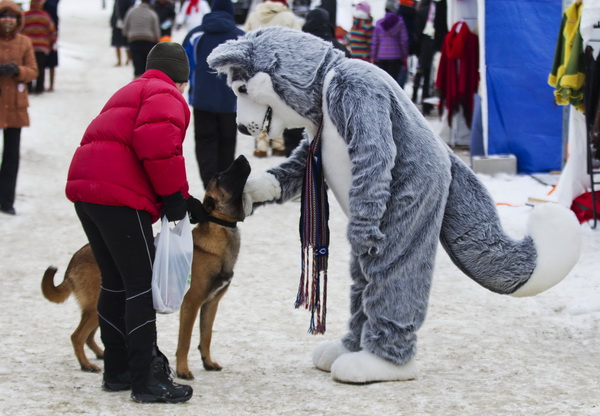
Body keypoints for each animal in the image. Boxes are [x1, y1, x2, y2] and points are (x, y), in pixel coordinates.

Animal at [40, 154, 251, 378]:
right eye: (220, 177)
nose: (242, 157)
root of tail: (75, 258)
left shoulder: (211, 304)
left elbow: (206, 337)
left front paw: (208, 362)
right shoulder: (191, 305)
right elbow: (184, 342)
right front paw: (183, 370)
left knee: (89, 335)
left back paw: (100, 355)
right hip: (96, 305)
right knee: (77, 336)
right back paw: (86, 364)